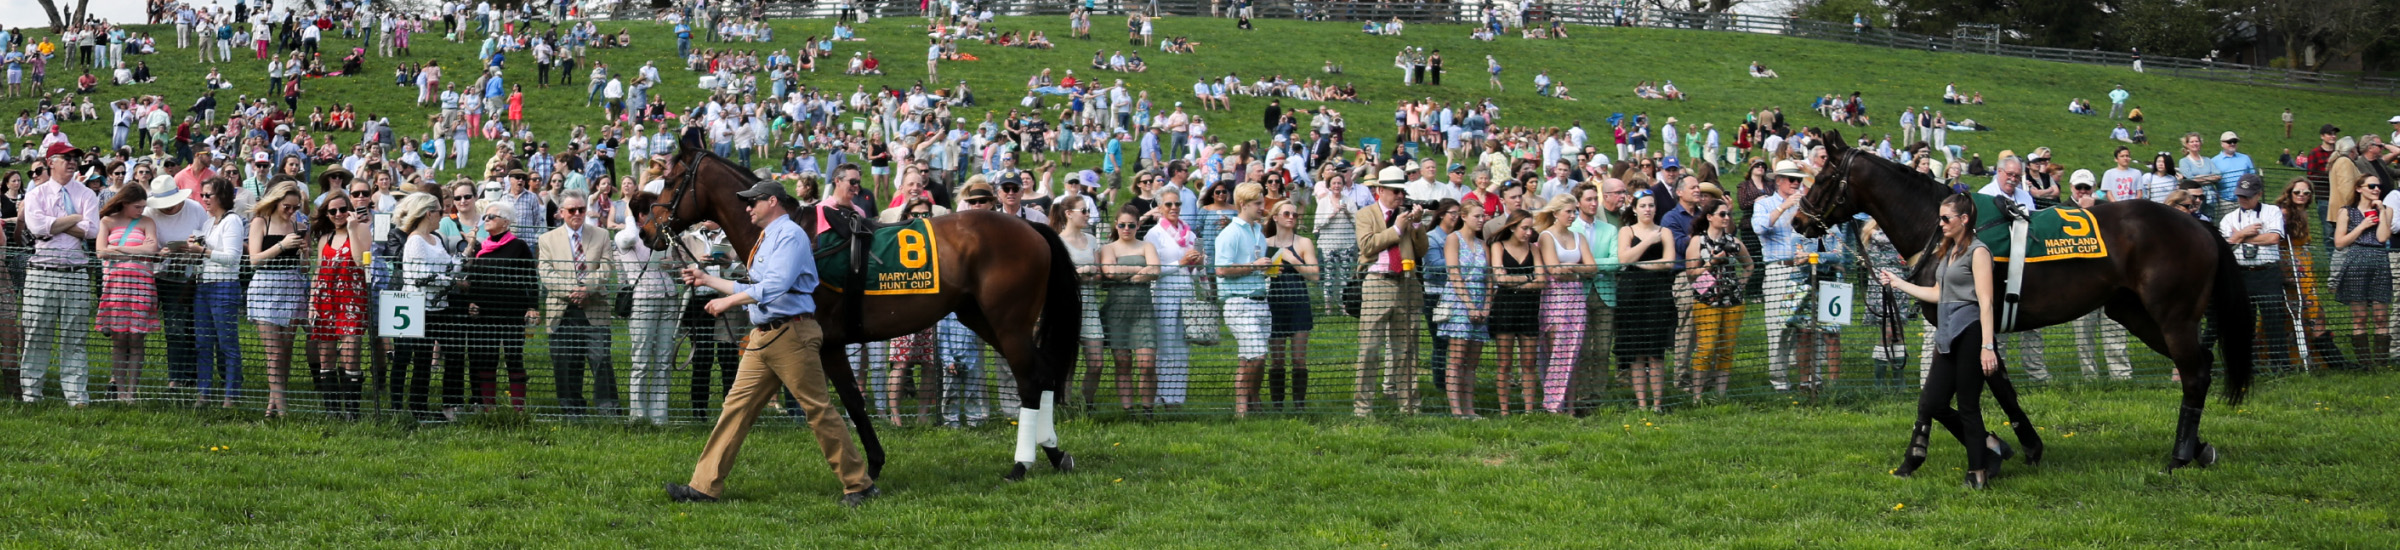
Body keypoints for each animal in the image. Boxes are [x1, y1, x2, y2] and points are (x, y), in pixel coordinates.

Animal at [638, 145, 1081, 482]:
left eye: (673, 181)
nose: (646, 229)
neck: (801, 237)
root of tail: (1031, 228)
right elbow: (845, 400)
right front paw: (873, 462)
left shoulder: (827, 343)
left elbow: (850, 401)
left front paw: (871, 465)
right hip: (981, 318)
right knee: (1042, 373)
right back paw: (1054, 452)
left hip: (1009, 322)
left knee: (1030, 380)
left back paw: (1022, 463)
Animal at [1792, 130, 2255, 473]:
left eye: (1823, 177)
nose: (1798, 219)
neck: (1940, 228)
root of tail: (2198, 224)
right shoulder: (1961, 328)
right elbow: (1957, 393)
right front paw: (2007, 445)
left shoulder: (1975, 324)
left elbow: (1985, 388)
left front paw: (2008, 446)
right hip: (2136, 314)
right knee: (2199, 366)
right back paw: (2198, 447)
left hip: (2172, 317)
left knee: (2194, 373)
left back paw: (2180, 455)